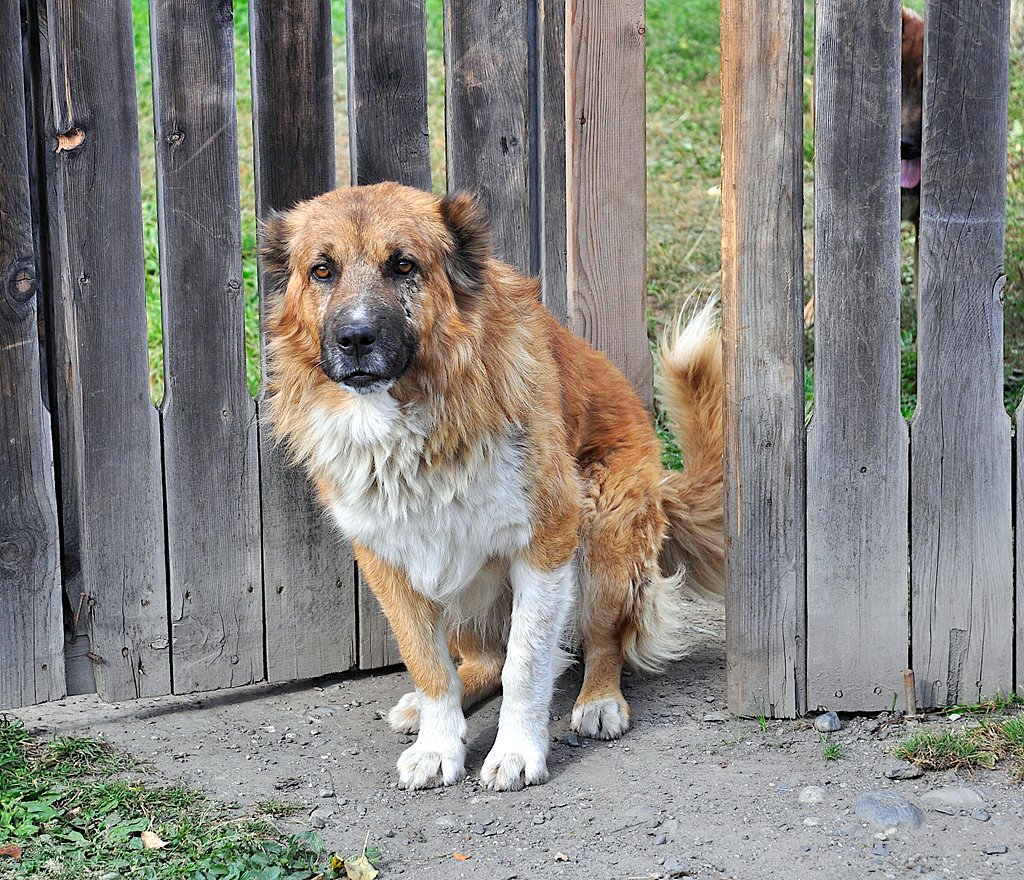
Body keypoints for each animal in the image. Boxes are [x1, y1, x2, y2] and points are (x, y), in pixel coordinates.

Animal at [264, 184, 729, 790]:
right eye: (322, 270)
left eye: (403, 265)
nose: (355, 337)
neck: (413, 422)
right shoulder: (386, 558)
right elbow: (429, 664)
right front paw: (438, 744)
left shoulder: (547, 541)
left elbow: (526, 666)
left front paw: (517, 751)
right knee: (479, 661)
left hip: (605, 531)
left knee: (602, 640)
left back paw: (600, 700)